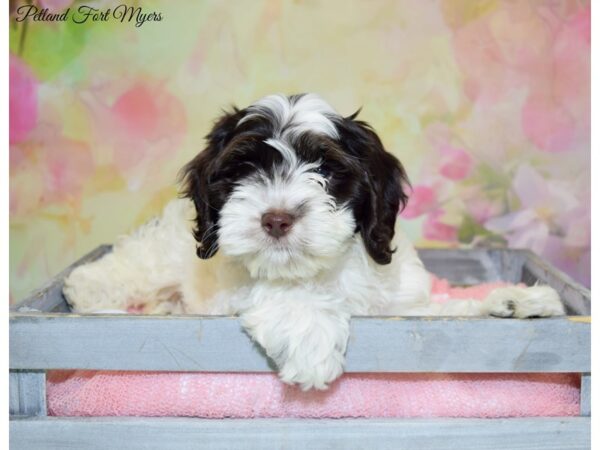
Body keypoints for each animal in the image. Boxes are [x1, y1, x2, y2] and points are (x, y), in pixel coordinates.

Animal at [63, 94, 564, 390]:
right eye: (244, 170)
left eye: (325, 168)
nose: (276, 219)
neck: (324, 272)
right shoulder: (232, 289)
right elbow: (281, 295)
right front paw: (312, 336)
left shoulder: (398, 306)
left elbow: (441, 312)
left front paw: (511, 301)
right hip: (153, 262)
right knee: (104, 276)